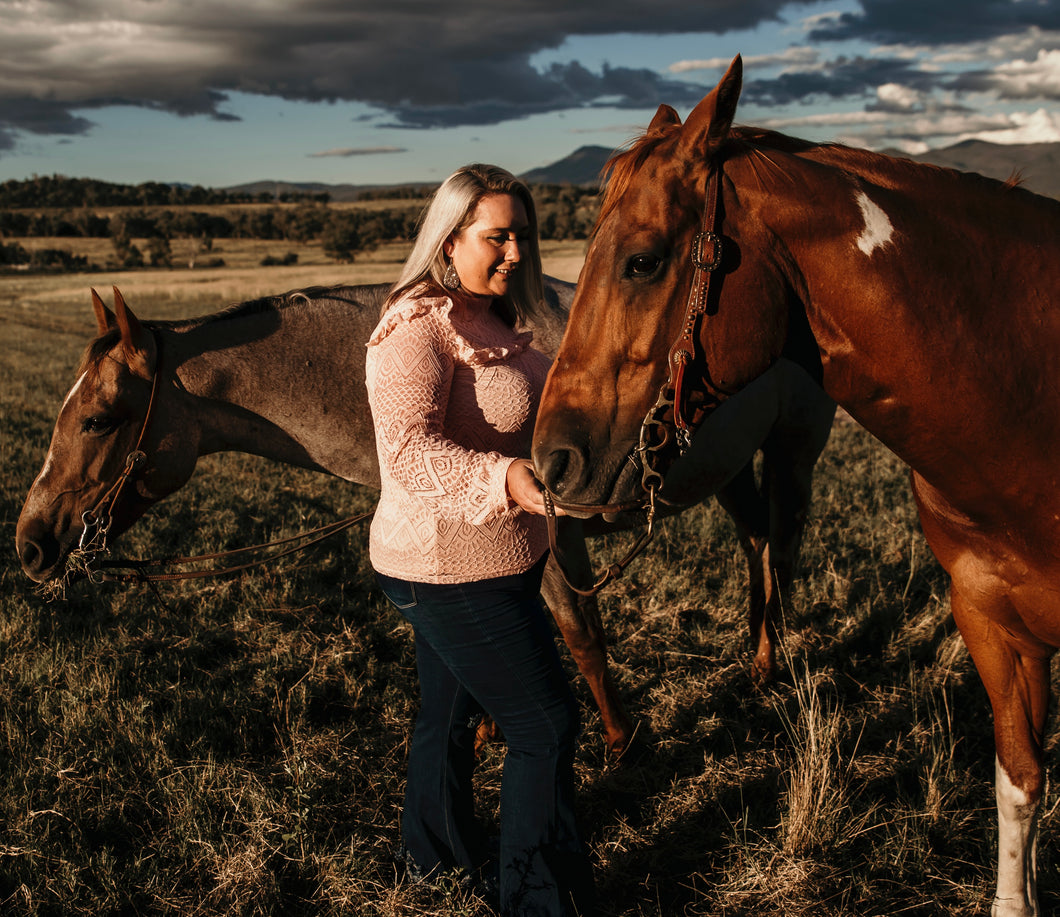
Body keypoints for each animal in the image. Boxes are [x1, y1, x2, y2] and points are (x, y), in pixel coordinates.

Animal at [12, 275, 831, 763]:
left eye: (97, 418)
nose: (31, 544)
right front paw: (496, 731)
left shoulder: (556, 532)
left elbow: (582, 637)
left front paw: (623, 747)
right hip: (730, 467)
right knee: (755, 541)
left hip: (793, 451)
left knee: (783, 551)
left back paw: (771, 666)